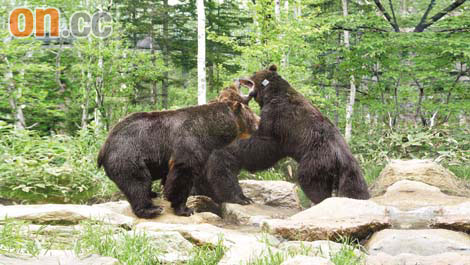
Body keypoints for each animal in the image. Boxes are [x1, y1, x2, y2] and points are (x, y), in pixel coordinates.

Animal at [98, 81, 258, 218]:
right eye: (249, 112)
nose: (259, 121)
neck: (209, 130)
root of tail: (104, 146)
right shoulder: (187, 143)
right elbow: (183, 174)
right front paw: (186, 209)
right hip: (128, 154)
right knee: (137, 182)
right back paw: (152, 208)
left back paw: (153, 194)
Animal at [206, 65, 370, 204]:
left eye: (252, 74)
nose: (239, 78)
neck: (270, 94)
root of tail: (339, 157)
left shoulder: (276, 119)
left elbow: (261, 141)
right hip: (352, 171)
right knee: (356, 189)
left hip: (315, 160)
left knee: (311, 183)